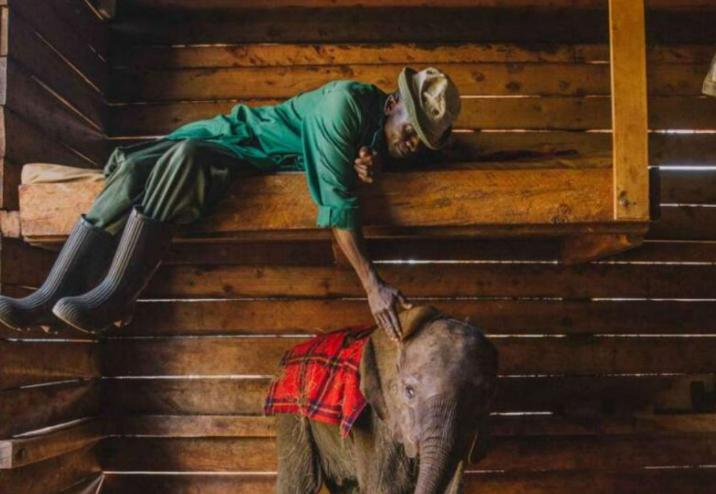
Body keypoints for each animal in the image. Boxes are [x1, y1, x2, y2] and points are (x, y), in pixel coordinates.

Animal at [275, 306, 499, 494]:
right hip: (290, 409)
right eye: (409, 392)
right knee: (299, 480)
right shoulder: (374, 418)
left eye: (481, 398)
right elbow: (386, 486)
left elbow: (453, 484)